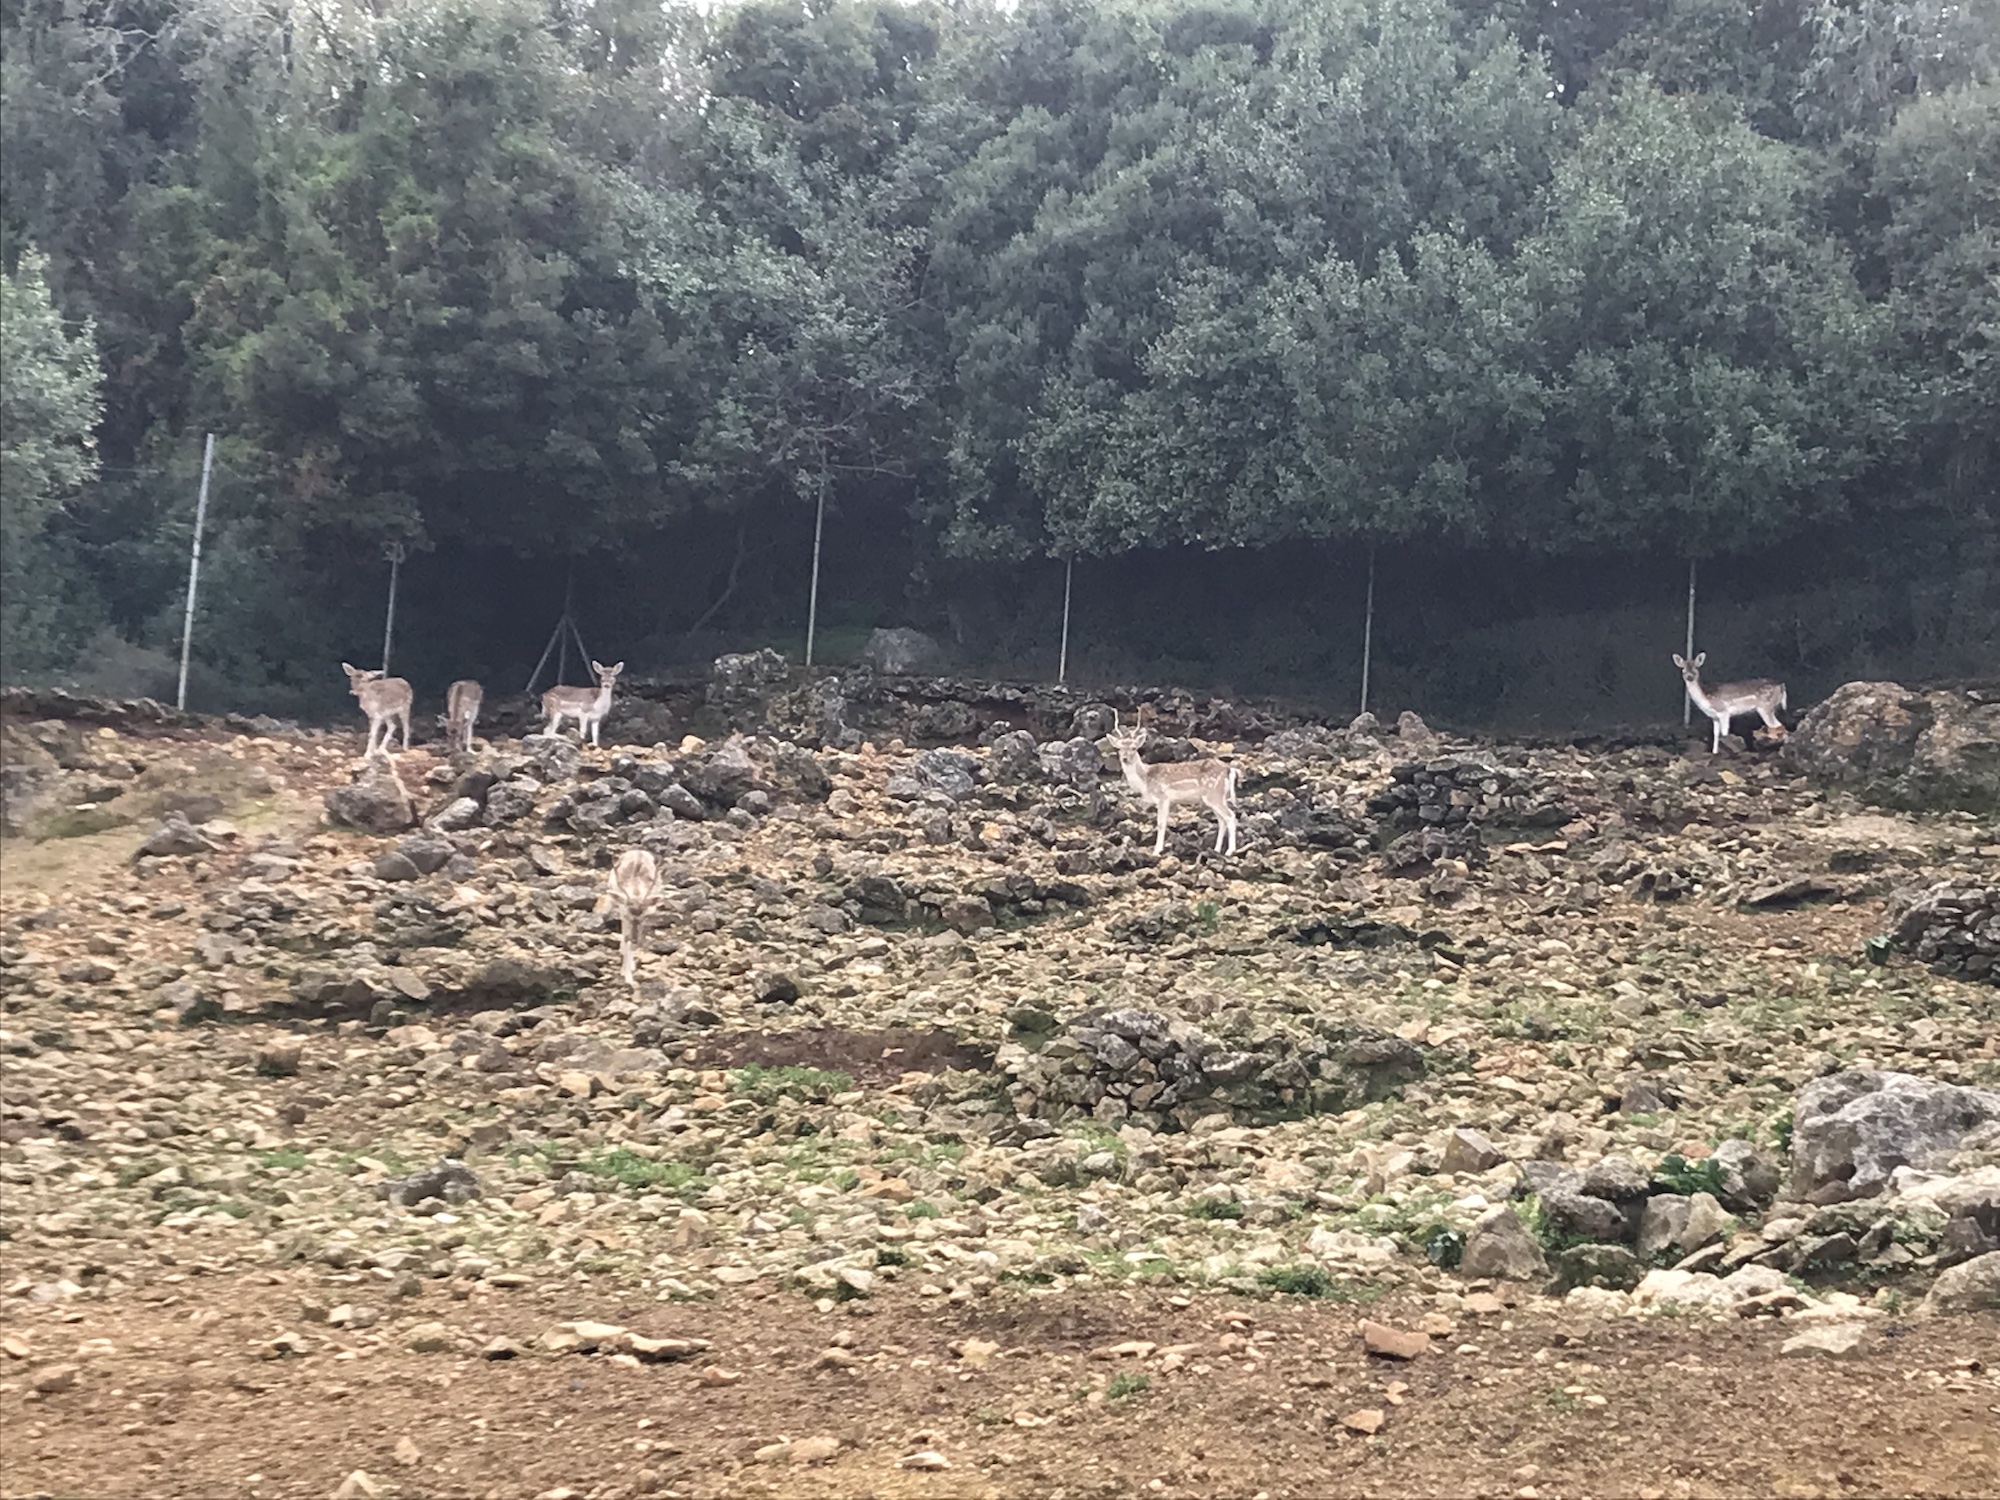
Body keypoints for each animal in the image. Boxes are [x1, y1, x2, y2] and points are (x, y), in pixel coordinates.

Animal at [605, 848, 660, 987]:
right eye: (627, 914)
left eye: (644, 916)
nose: (634, 939)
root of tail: (637, 850)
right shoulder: (623, 911)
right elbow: (626, 939)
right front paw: (626, 976)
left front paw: (629, 971)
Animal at [1106, 708, 1240, 856]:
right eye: (1119, 748)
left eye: (1134, 748)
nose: (1125, 758)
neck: (1145, 781)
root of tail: (1229, 769)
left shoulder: (1163, 797)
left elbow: (1161, 823)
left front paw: (1157, 851)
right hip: (1214, 798)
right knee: (1222, 820)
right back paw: (1216, 850)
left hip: (1214, 794)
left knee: (1230, 816)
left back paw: (1230, 851)